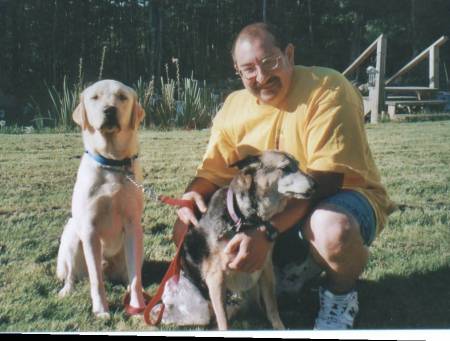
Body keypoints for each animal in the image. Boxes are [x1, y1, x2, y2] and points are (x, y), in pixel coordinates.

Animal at [56, 79, 146, 316]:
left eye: (122, 97)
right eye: (94, 97)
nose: (109, 110)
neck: (112, 163)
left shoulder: (133, 225)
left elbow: (136, 278)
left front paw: (138, 306)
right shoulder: (89, 229)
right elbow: (96, 279)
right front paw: (100, 310)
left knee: (129, 275)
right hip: (72, 235)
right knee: (73, 275)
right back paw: (66, 289)